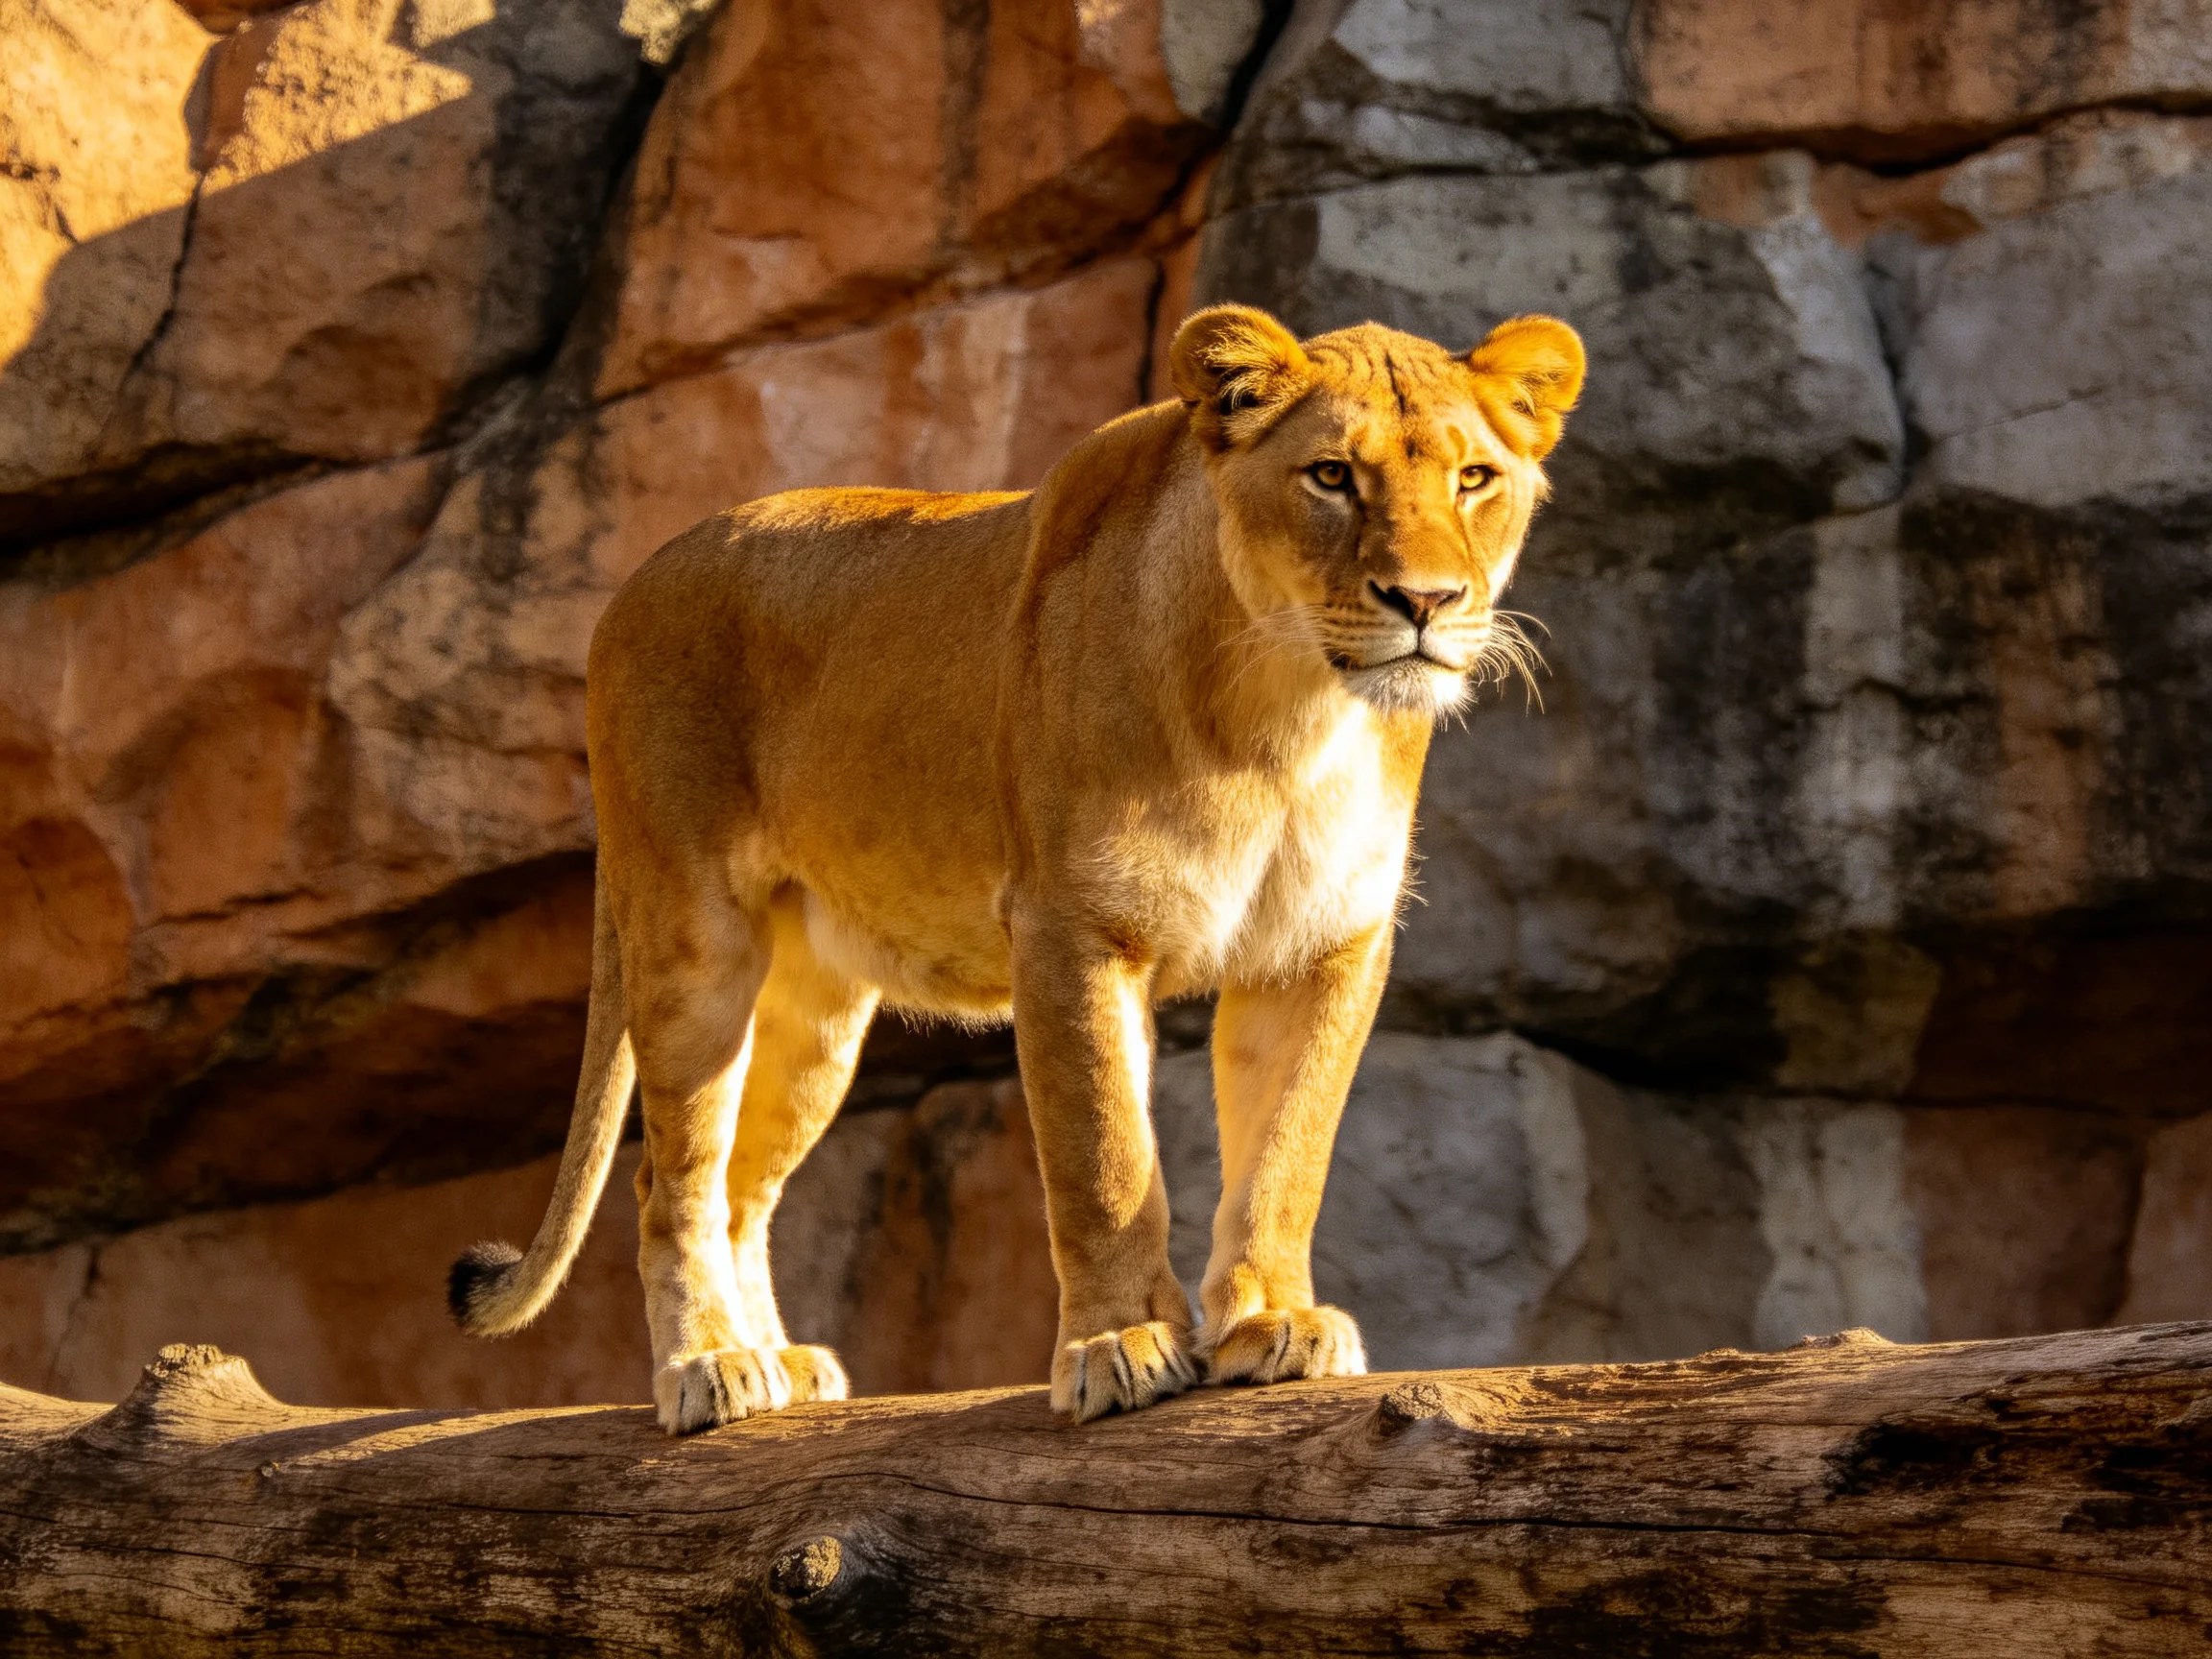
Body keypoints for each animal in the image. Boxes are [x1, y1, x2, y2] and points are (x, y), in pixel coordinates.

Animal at [448, 303, 1584, 1433]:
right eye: (1332, 476)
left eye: (1474, 478)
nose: (1426, 601)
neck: (1286, 714)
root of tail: (631, 585)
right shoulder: (1072, 929)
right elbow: (1104, 1153)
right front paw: (1121, 1344)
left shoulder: (1322, 946)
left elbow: (1285, 1151)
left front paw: (1273, 1324)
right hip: (694, 937)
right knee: (672, 1180)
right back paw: (710, 1365)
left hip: (812, 1010)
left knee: (739, 1187)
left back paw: (777, 1359)